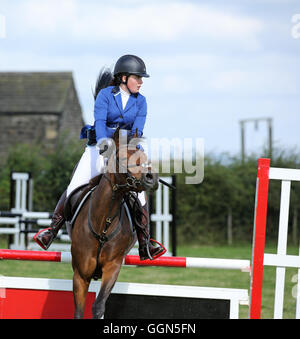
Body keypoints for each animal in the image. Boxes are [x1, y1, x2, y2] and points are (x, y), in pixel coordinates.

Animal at [70, 129, 159, 320]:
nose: (152, 178)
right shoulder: (80, 275)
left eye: (144, 156)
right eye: (123, 158)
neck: (103, 222)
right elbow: (79, 312)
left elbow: (98, 306)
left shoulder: (112, 267)